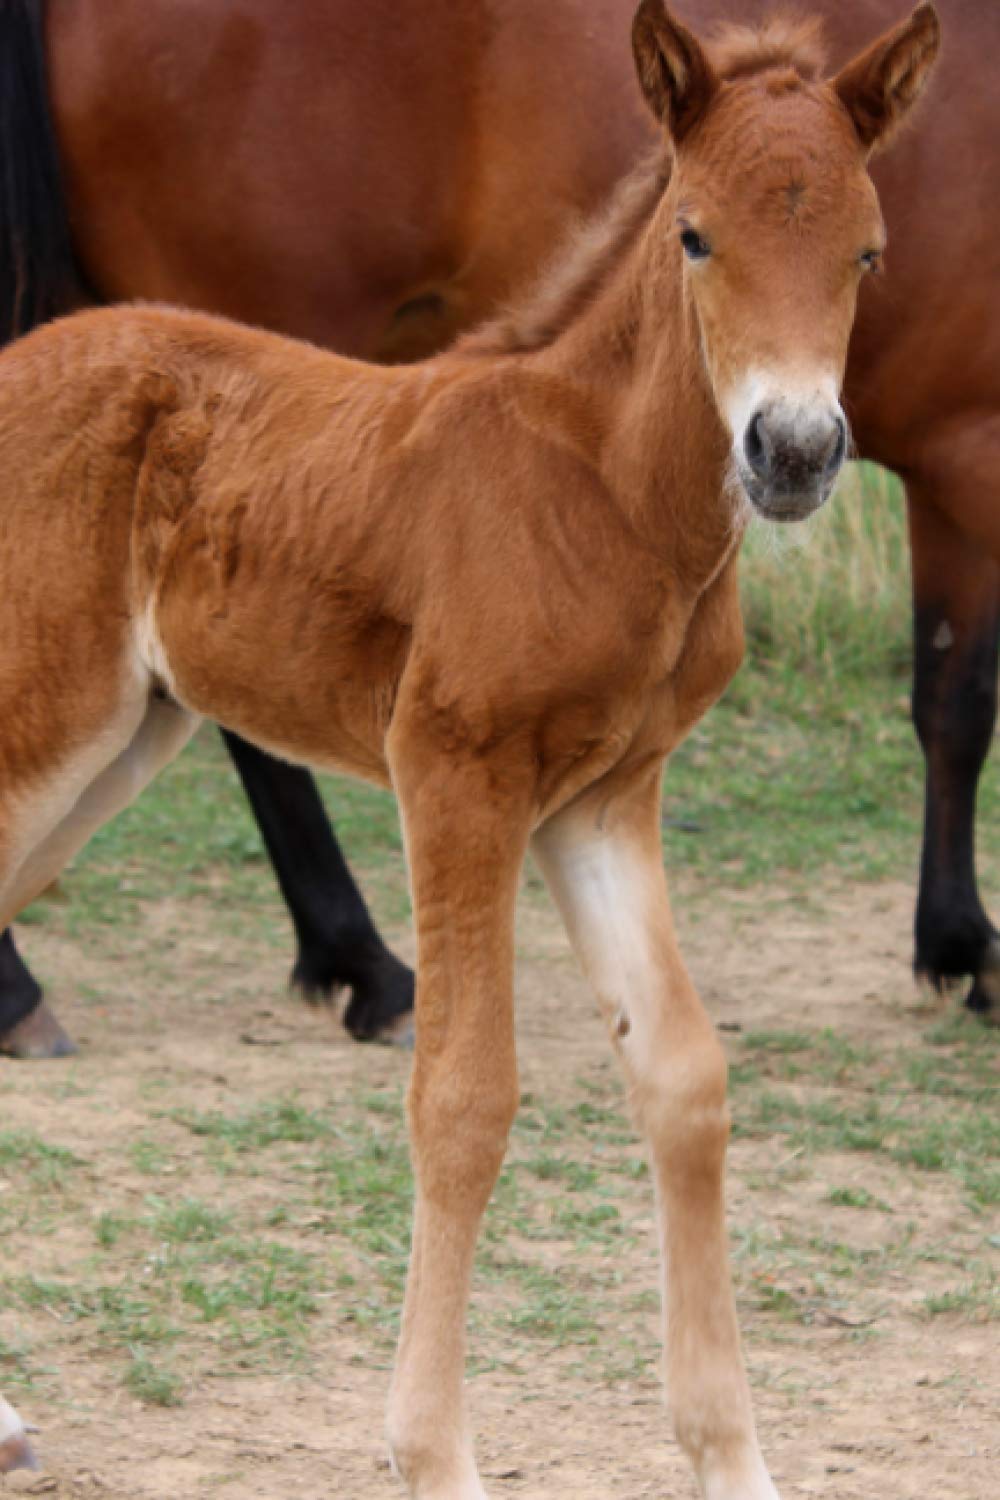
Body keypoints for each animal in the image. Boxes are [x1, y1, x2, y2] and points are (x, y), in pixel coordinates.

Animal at [0, 3, 939, 1491]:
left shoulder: (602, 799)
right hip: (45, 722)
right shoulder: (456, 773)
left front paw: (733, 1458)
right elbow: (463, 1095)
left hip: (112, 751)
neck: (604, 493)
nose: (792, 452)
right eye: (694, 235)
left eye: (869, 248)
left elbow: (683, 1078)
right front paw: (436, 1454)